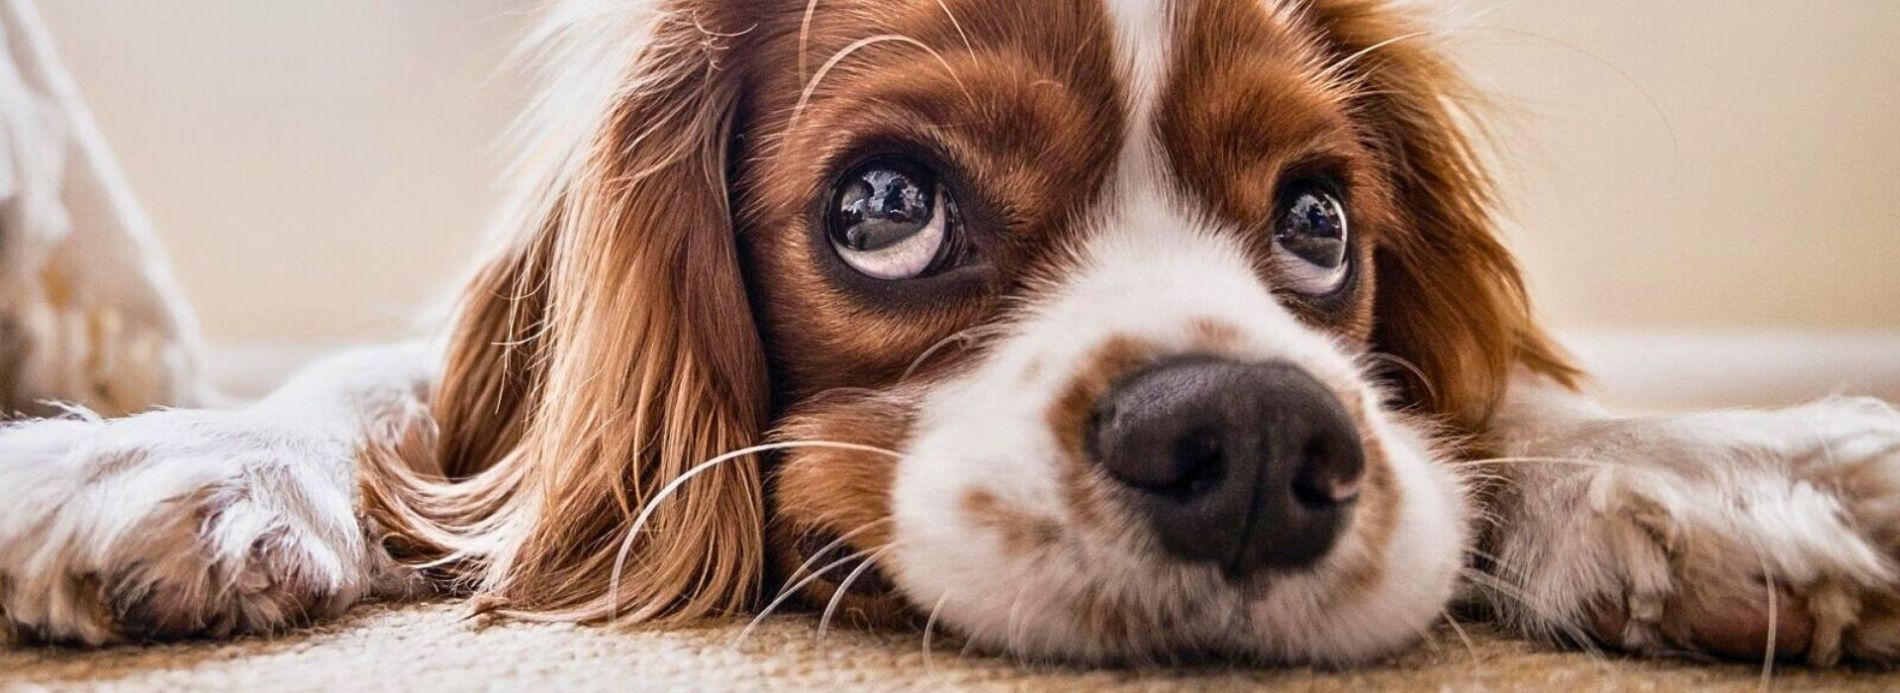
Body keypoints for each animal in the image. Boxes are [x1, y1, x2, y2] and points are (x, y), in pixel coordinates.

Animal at [3, 0, 1900, 668]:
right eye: (885, 206)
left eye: (1318, 224)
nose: (1253, 440)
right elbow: (386, 395)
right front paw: (174, 458)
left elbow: (1497, 406)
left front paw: (1720, 469)